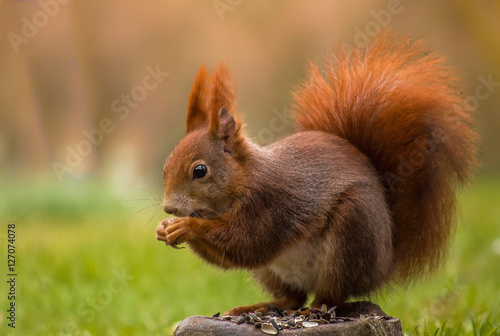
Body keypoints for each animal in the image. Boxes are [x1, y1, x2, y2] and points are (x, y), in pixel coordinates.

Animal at [155, 34, 476, 316]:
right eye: (165, 167)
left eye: (200, 171)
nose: (168, 208)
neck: (242, 180)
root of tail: (386, 262)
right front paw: (164, 228)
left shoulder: (269, 202)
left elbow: (245, 242)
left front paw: (185, 226)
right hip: (271, 272)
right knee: (291, 298)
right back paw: (258, 308)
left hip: (351, 234)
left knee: (330, 295)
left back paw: (315, 310)